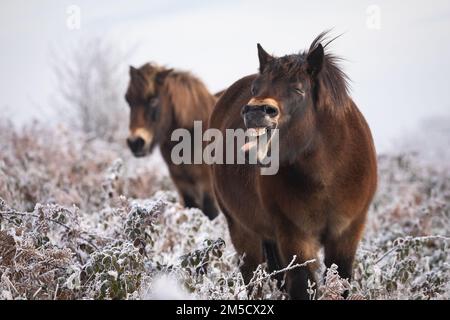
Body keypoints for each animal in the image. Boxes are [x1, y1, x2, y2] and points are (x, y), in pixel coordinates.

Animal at [209, 31, 378, 298]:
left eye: (298, 90)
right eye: (256, 87)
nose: (256, 112)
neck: (327, 176)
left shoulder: (347, 234)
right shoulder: (295, 237)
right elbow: (301, 285)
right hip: (243, 231)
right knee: (253, 279)